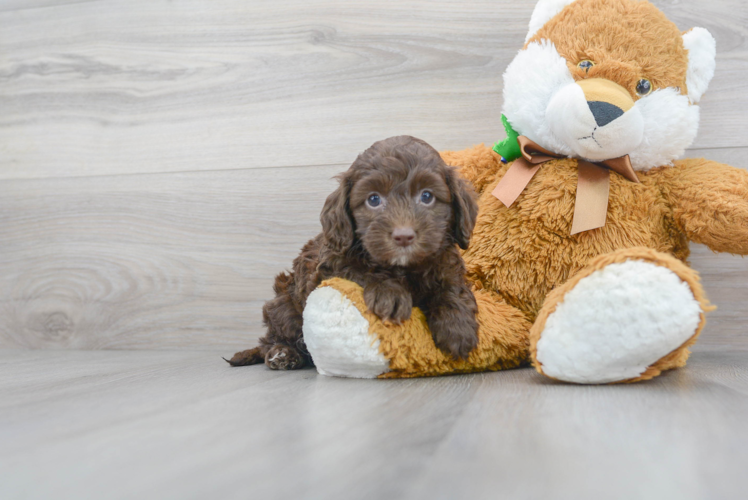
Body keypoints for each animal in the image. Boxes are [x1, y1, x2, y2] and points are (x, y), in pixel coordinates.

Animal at [225, 135, 480, 370]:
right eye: (373, 199)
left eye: (427, 196)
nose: (403, 236)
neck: (403, 268)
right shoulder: (331, 264)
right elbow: (360, 270)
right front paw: (390, 294)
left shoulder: (446, 262)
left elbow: (452, 287)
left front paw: (458, 326)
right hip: (284, 306)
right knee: (273, 337)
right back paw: (282, 354)